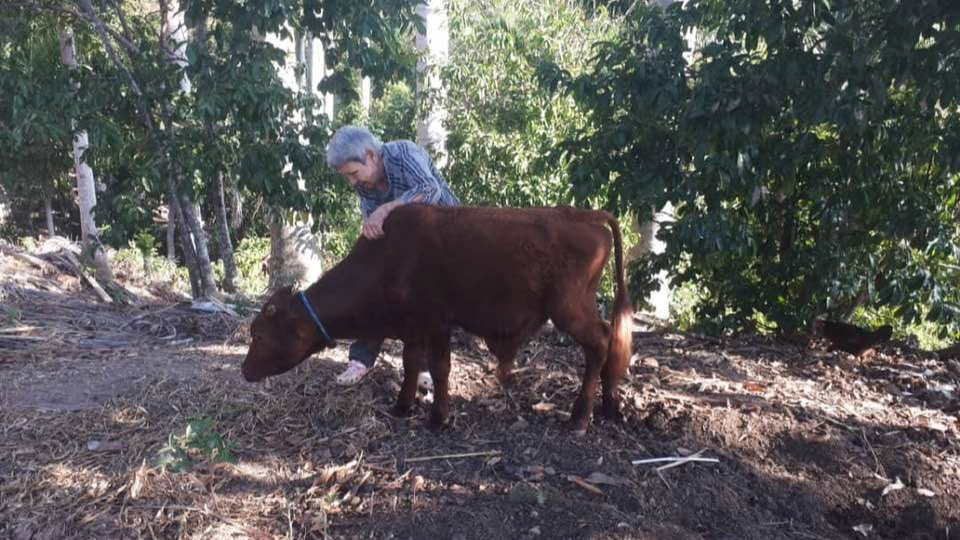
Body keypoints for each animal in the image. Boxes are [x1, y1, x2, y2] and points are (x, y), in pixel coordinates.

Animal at [240, 205, 632, 432]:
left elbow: (440, 367)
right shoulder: (413, 326)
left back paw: (580, 417)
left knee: (601, 341)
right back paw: (610, 405)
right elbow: (411, 362)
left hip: (570, 309)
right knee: (611, 341)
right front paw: (403, 405)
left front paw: (438, 417)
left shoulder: (437, 321)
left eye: (258, 335)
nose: (244, 370)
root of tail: (586, 214)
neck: (388, 258)